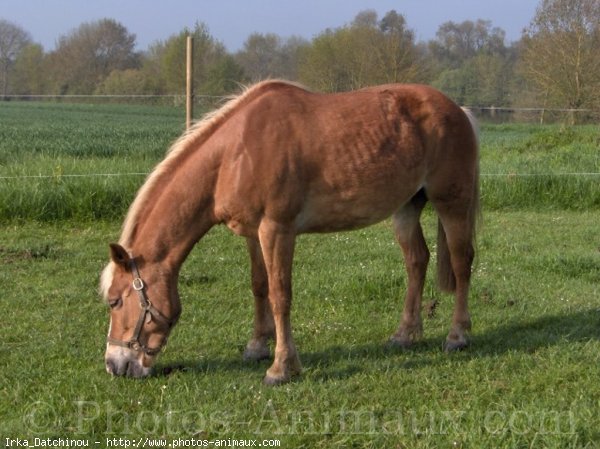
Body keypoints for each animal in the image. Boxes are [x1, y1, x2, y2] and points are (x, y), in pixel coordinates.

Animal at [101, 79, 480, 384]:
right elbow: (259, 286)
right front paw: (256, 347)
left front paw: (281, 367)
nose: (115, 365)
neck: (235, 154)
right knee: (417, 261)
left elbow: (280, 295)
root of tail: (458, 111)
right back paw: (406, 333)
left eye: (115, 300)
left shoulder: (277, 229)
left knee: (462, 263)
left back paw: (457, 336)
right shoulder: (253, 233)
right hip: (407, 208)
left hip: (451, 202)